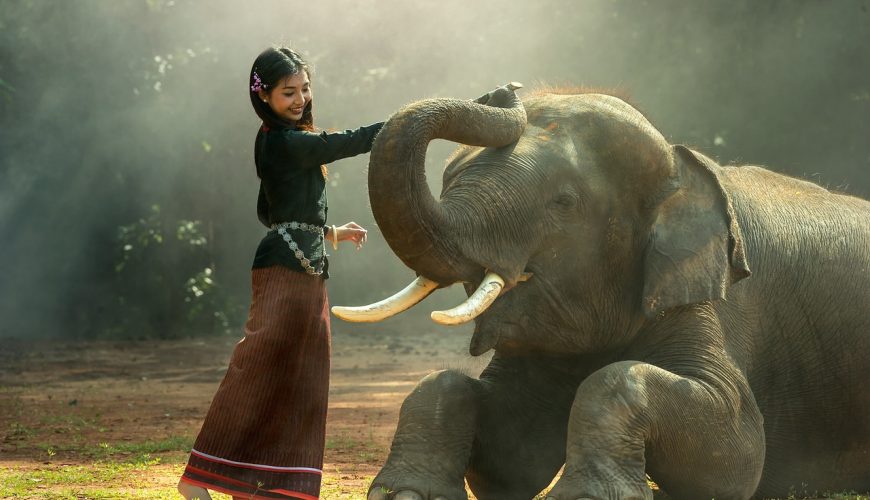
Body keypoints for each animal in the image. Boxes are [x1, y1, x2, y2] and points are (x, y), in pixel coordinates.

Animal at [333, 83, 870, 499]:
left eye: (564, 202)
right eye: (448, 178)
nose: (504, 89)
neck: (680, 165)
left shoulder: (704, 294)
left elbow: (738, 449)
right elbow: (510, 457)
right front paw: (405, 494)